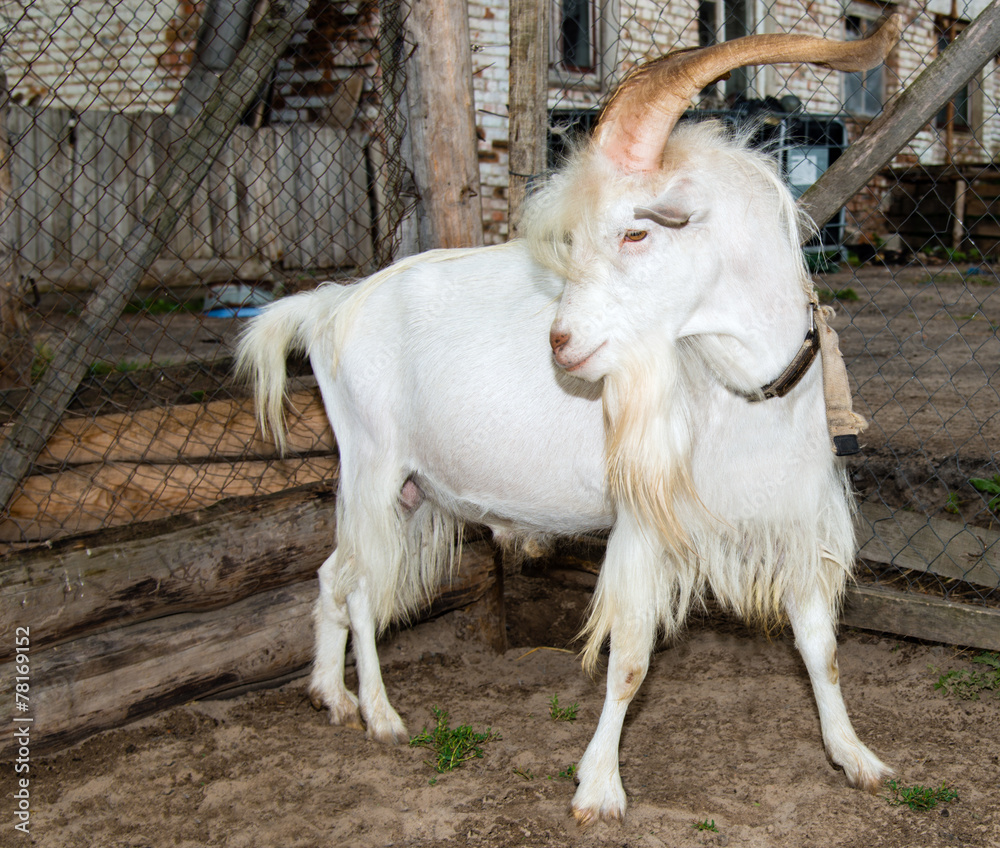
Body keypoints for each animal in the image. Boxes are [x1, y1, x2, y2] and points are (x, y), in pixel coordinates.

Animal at [236, 17, 900, 824]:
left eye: (637, 234)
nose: (561, 343)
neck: (743, 397)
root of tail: (336, 304)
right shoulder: (645, 522)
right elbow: (632, 658)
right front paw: (599, 788)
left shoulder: (791, 513)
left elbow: (819, 644)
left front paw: (855, 756)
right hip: (372, 466)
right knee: (362, 583)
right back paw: (382, 715)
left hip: (407, 487)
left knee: (335, 572)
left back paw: (330, 695)